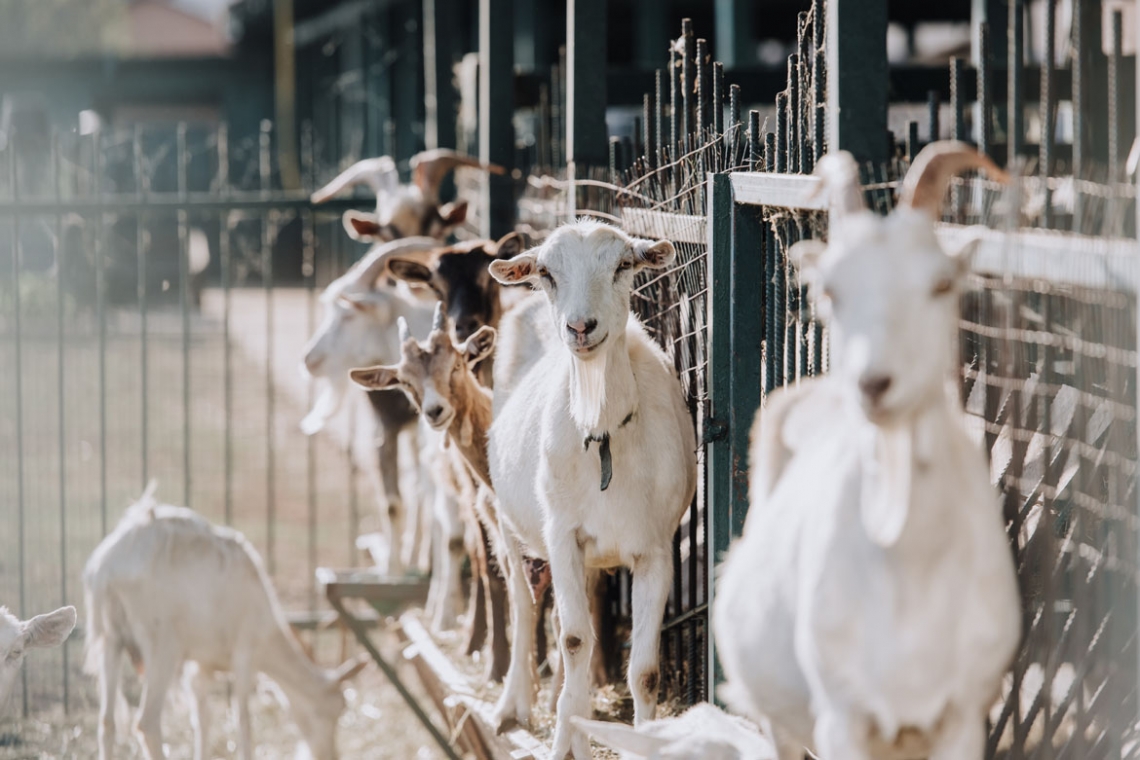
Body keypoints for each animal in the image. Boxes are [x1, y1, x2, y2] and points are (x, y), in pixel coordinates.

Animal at [83, 485, 364, 760]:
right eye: (333, 710)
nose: (330, 755)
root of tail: (106, 569)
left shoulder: (200, 665)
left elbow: (202, 720)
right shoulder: (244, 652)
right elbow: (243, 721)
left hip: (109, 639)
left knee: (106, 722)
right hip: (161, 644)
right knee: (146, 722)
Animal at [483, 221, 693, 760]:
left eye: (623, 264)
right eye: (546, 272)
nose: (580, 328)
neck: (604, 435)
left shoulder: (656, 548)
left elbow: (645, 672)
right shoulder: (563, 535)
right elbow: (575, 639)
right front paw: (561, 744)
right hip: (506, 515)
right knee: (522, 603)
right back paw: (511, 707)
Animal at [711, 142, 1026, 760]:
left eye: (940, 285)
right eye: (830, 291)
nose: (873, 384)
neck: (909, 566)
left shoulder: (964, 715)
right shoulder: (842, 717)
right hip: (780, 719)